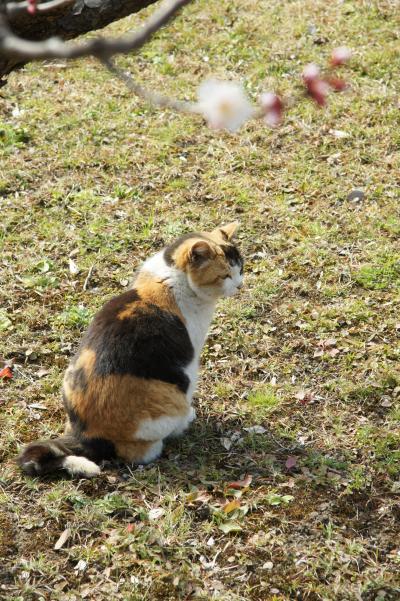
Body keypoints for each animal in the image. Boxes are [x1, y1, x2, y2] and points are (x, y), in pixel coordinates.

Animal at [17, 223, 244, 476]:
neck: (172, 276)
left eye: (241, 268)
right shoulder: (189, 361)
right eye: (224, 275)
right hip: (168, 400)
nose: (239, 285)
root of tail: (85, 435)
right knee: (141, 451)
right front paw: (190, 417)